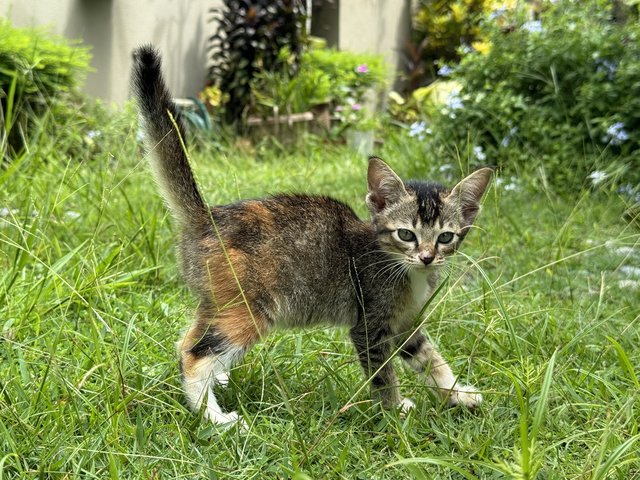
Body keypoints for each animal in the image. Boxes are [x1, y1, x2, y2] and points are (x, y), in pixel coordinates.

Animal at [129, 45, 490, 426]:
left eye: (445, 238)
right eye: (406, 234)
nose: (426, 257)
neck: (403, 270)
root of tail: (207, 216)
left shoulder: (406, 324)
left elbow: (430, 357)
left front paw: (458, 394)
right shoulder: (370, 325)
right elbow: (383, 374)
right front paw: (393, 412)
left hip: (217, 301)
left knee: (186, 342)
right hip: (250, 308)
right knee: (196, 357)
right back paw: (215, 418)